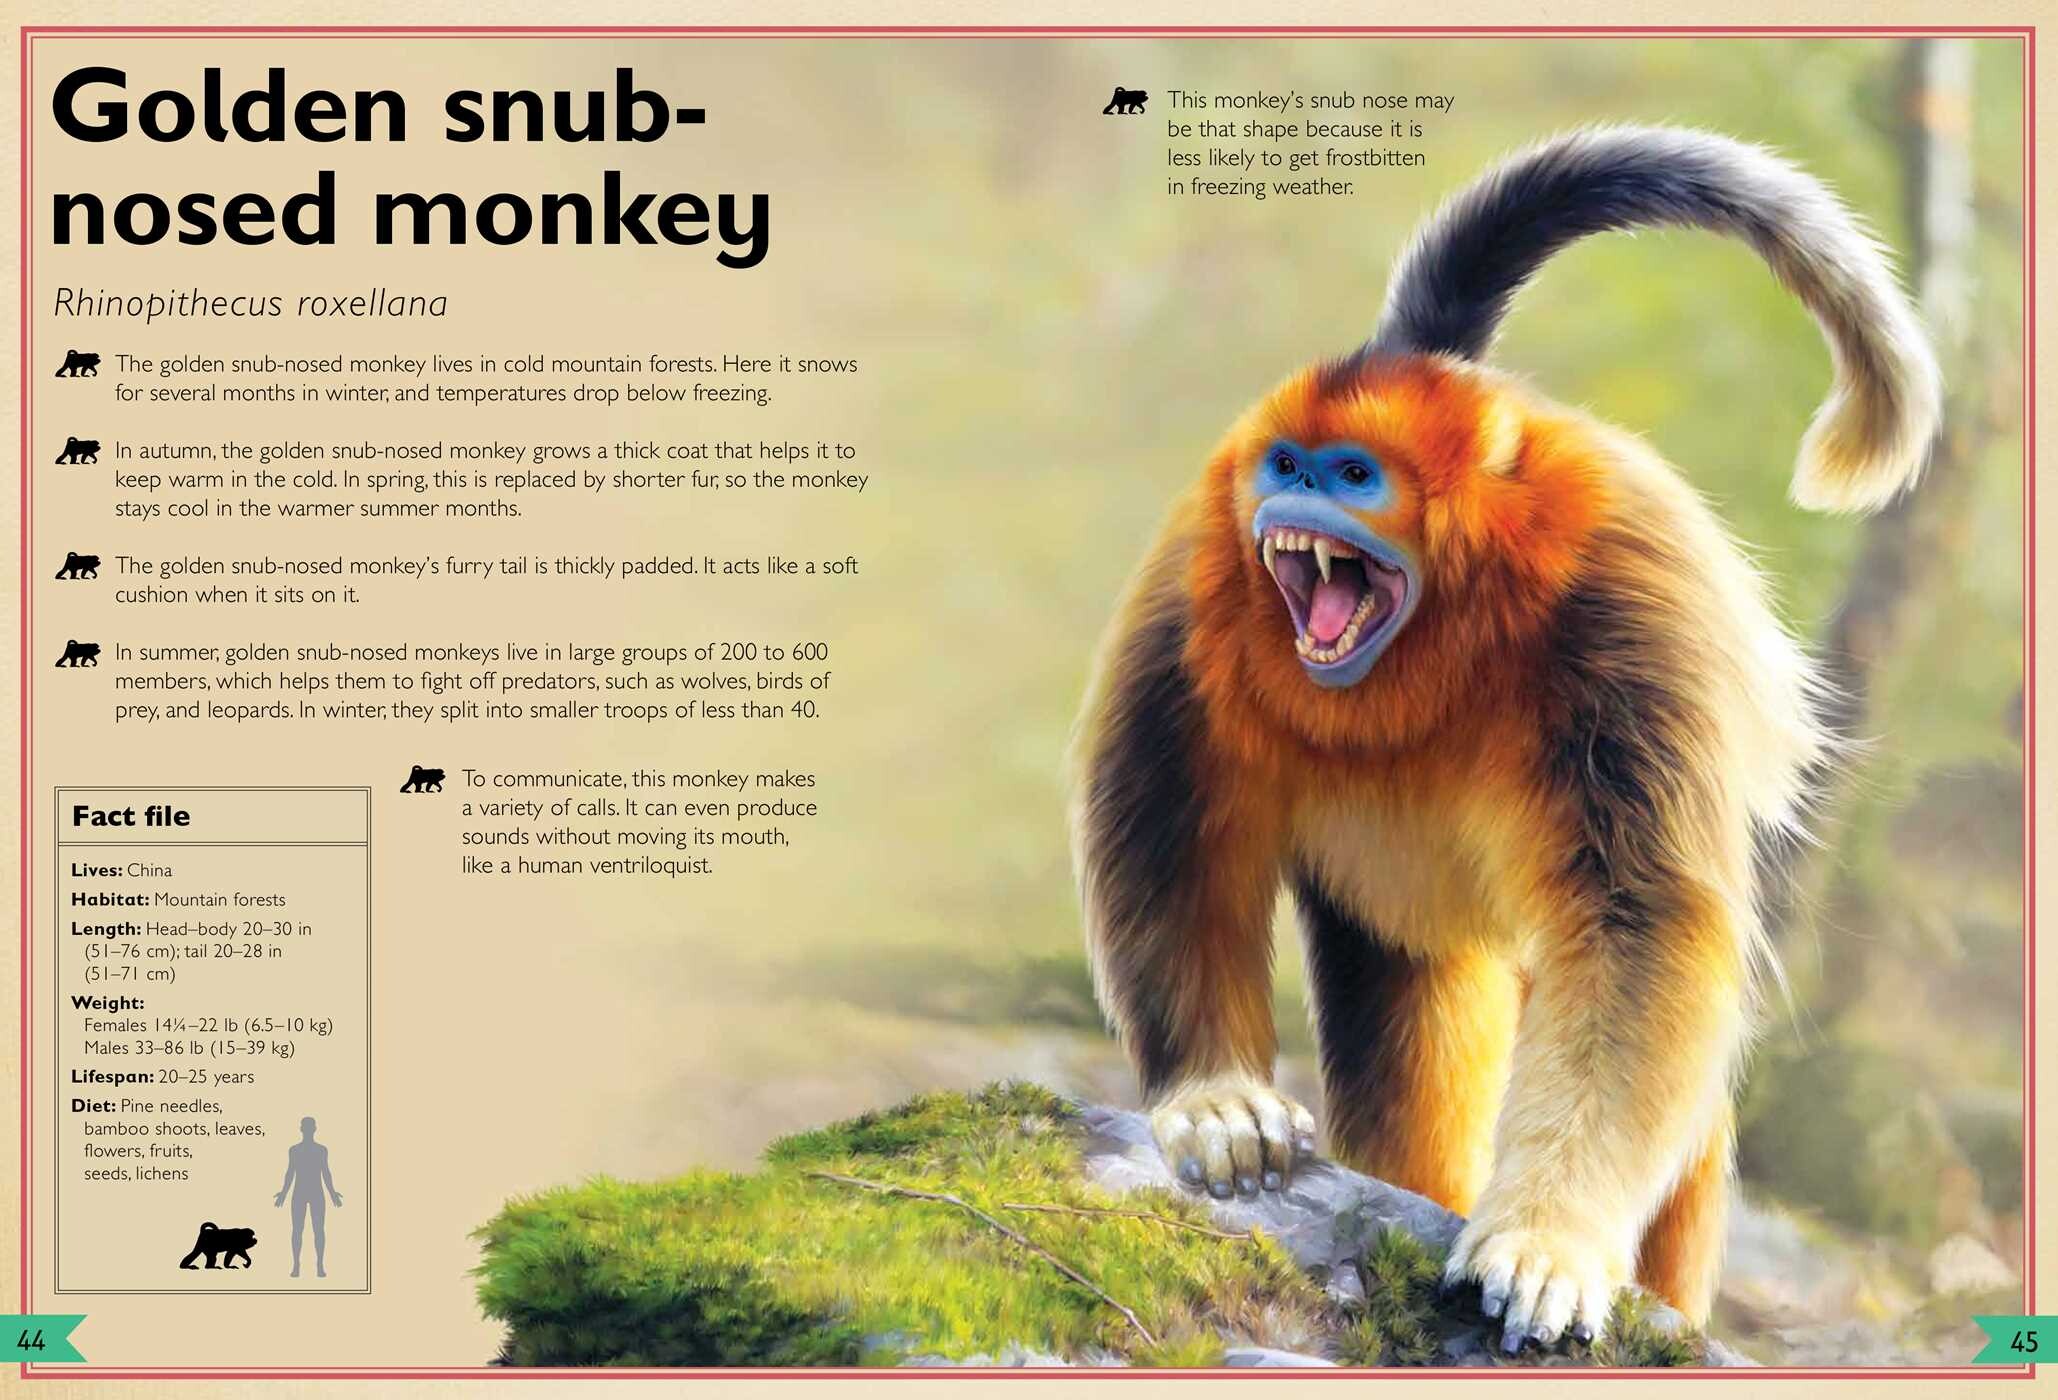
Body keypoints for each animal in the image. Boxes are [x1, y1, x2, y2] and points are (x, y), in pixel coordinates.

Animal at [1070, 126, 1939, 1348]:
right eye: (1287, 465)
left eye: (1353, 476)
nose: (1292, 492)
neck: (1440, 620)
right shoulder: (1199, 571)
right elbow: (1171, 835)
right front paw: (1217, 1099)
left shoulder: (1625, 614)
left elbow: (1640, 928)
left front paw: (1548, 1240)